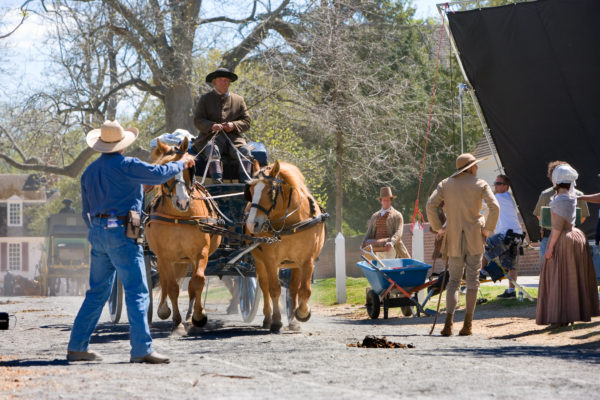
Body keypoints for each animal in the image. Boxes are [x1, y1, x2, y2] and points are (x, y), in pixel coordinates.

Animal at [144, 138, 221, 332]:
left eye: (190, 167)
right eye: (165, 167)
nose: (183, 202)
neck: (179, 217)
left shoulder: (200, 252)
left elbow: (197, 281)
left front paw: (199, 316)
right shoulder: (164, 256)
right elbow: (172, 287)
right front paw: (176, 321)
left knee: (192, 283)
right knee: (164, 280)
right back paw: (164, 310)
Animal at [245, 159, 328, 332]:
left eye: (270, 191)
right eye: (251, 190)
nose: (251, 224)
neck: (291, 223)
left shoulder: (307, 260)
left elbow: (303, 290)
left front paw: (301, 314)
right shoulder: (270, 261)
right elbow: (274, 290)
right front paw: (276, 321)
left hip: (293, 264)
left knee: (293, 289)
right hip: (260, 262)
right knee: (265, 287)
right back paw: (268, 318)